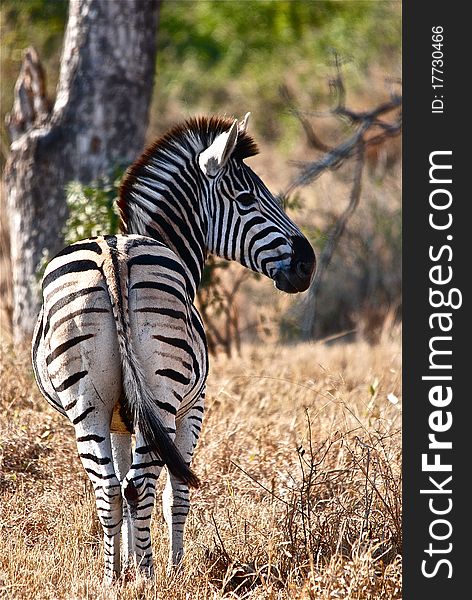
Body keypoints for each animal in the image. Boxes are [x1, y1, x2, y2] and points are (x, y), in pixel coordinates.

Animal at [31, 112, 316, 580]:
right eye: (246, 198)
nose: (307, 264)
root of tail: (113, 254)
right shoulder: (194, 407)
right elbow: (176, 493)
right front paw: (173, 568)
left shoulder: (121, 418)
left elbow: (125, 489)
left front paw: (125, 565)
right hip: (163, 395)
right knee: (140, 484)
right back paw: (149, 578)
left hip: (86, 402)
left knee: (111, 488)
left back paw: (112, 579)